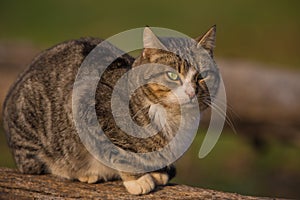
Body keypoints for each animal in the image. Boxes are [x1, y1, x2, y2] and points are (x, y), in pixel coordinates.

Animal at [1, 25, 218, 195]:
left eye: (202, 76)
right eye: (172, 75)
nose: (191, 92)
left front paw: (157, 170)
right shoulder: (87, 106)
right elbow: (119, 152)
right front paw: (137, 179)